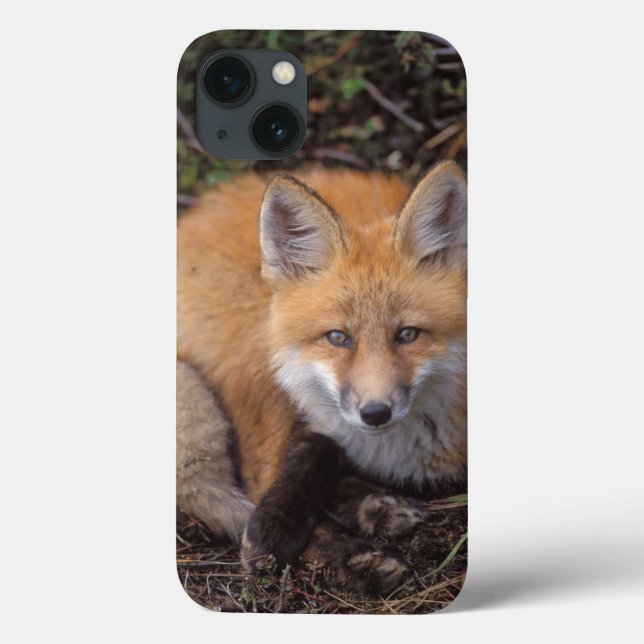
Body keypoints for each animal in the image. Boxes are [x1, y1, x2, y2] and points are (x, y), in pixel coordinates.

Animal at [177, 161, 467, 593]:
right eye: (338, 337)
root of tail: (197, 214)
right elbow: (310, 453)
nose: (375, 413)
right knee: (255, 480)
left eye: (408, 334)